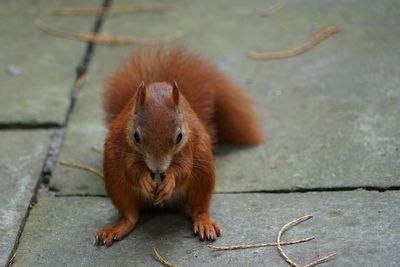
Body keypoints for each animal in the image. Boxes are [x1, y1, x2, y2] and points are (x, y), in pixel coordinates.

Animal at [95, 47, 264, 247]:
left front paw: (170, 180)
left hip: (204, 174)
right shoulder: (124, 143)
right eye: (136, 136)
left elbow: (184, 169)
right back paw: (117, 228)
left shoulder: (188, 146)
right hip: (115, 182)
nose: (157, 169)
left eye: (179, 137)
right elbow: (130, 169)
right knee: (130, 214)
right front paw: (144, 179)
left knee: (199, 207)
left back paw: (204, 223)